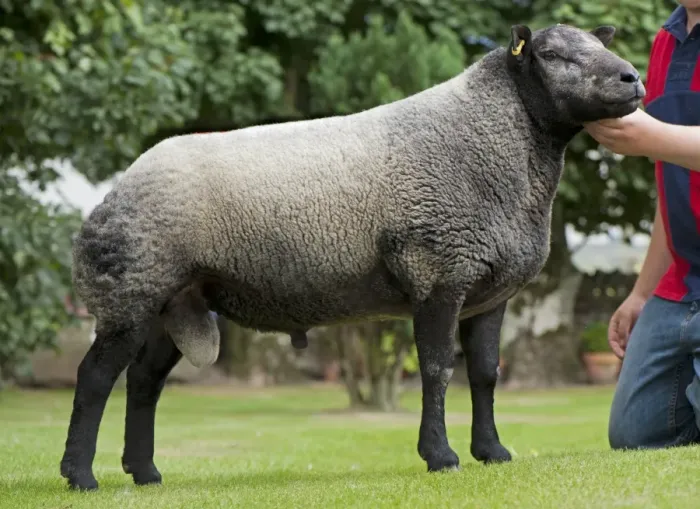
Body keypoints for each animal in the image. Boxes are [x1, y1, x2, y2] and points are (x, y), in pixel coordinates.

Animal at [59, 23, 645, 491]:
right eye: (552, 54)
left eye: (600, 43)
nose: (632, 79)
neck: (494, 141)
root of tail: (112, 194)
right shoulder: (439, 274)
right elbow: (437, 370)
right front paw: (441, 456)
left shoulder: (487, 293)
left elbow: (484, 373)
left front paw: (493, 452)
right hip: (132, 287)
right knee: (95, 378)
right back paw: (81, 475)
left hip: (175, 301)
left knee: (144, 381)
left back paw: (145, 472)